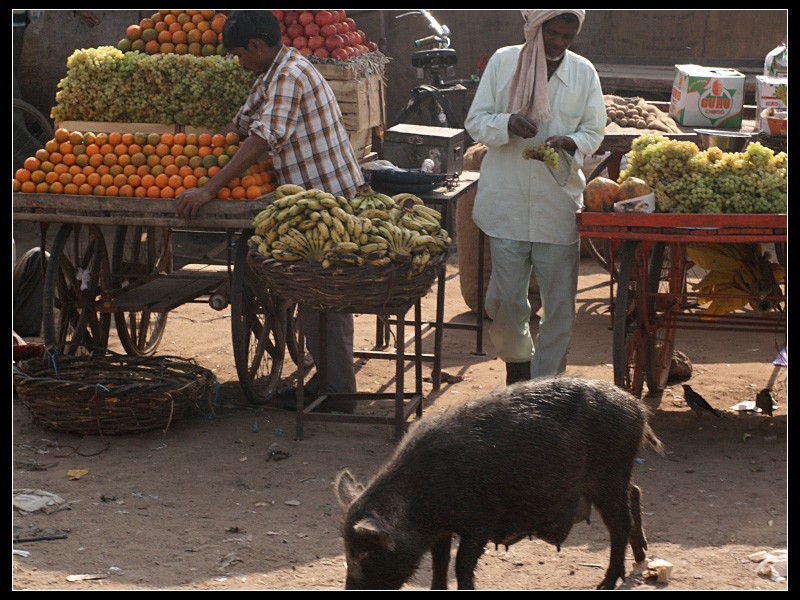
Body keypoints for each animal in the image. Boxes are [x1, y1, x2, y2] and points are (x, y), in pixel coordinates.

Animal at [332, 378, 664, 588]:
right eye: (346, 549)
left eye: (363, 553)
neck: (418, 499)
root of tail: (638, 409)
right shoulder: (442, 531)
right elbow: (440, 565)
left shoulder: (481, 519)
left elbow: (461, 565)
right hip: (616, 477)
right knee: (635, 494)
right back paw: (642, 556)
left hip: (609, 476)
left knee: (620, 525)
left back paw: (605, 584)